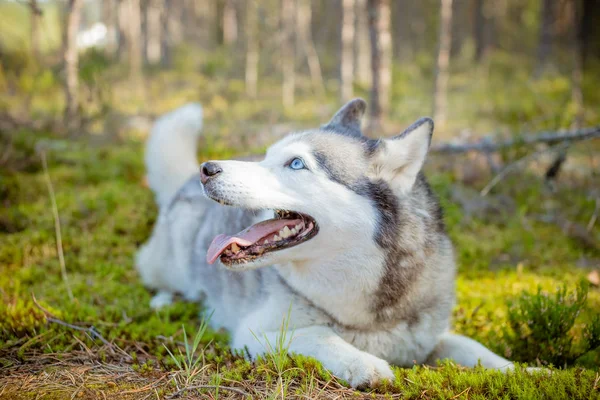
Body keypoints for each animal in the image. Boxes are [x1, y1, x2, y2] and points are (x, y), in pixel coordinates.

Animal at [137, 100, 528, 388]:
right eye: (265, 156)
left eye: (296, 163)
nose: (208, 169)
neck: (368, 315)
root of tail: (183, 181)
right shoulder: (255, 333)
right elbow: (319, 334)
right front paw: (365, 363)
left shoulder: (430, 337)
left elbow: (474, 347)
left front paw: (527, 371)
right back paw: (164, 300)